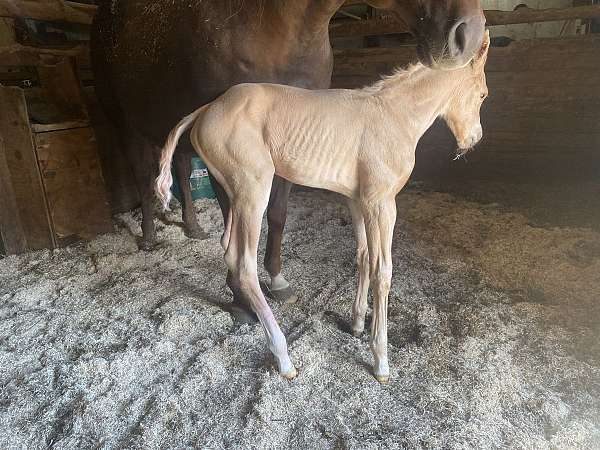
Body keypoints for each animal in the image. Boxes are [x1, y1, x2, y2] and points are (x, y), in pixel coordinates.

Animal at [157, 32, 490, 384]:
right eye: (483, 94)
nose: (473, 140)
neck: (393, 116)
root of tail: (207, 109)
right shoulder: (382, 203)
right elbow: (383, 271)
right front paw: (381, 360)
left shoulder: (358, 200)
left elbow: (363, 256)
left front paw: (357, 324)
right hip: (253, 188)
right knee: (245, 264)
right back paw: (283, 357)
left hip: (236, 194)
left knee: (228, 249)